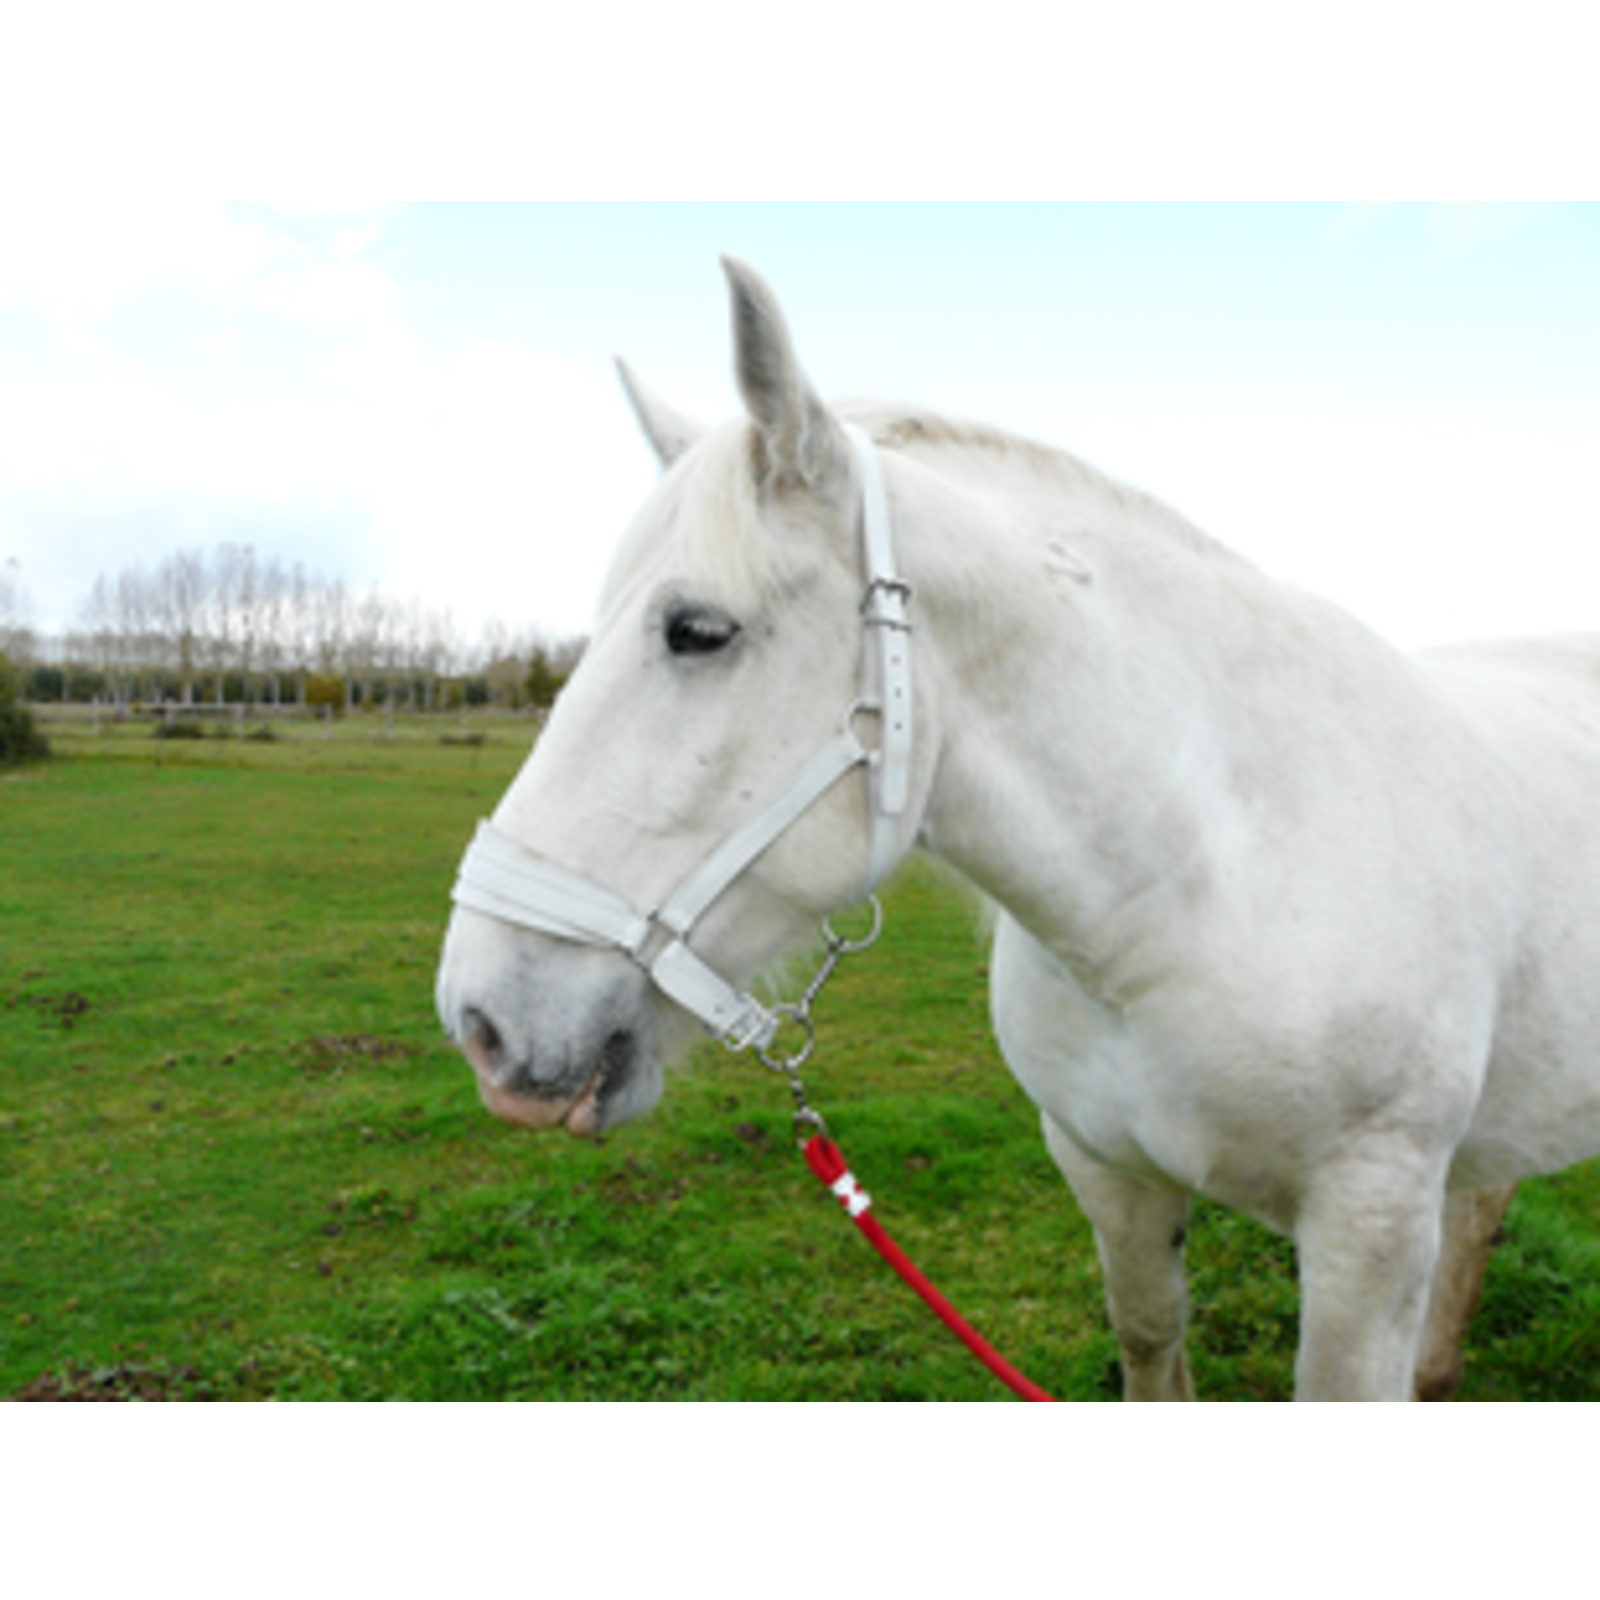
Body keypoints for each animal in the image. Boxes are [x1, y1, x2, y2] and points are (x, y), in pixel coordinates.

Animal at [436, 256, 1600, 1401]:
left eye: (697, 630)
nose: (481, 1023)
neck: (1211, 877)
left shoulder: (1369, 1226)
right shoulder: (1107, 1172)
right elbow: (1150, 1339)